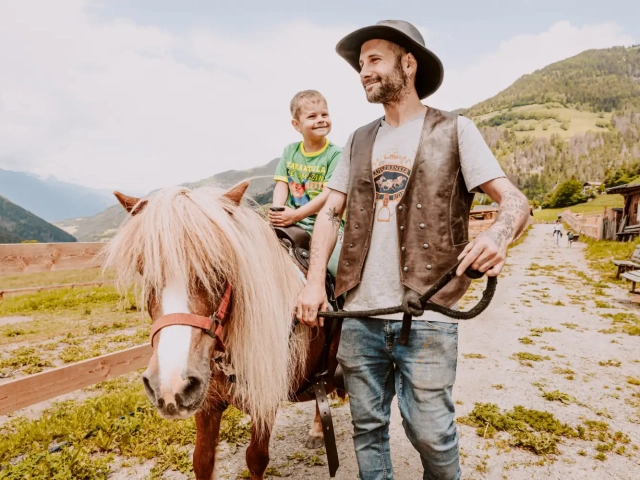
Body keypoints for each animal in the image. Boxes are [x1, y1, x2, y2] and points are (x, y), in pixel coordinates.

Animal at [104, 182, 342, 478]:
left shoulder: (264, 403)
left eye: (219, 268)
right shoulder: (205, 405)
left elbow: (256, 458)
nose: (170, 385)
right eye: (144, 270)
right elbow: (202, 460)